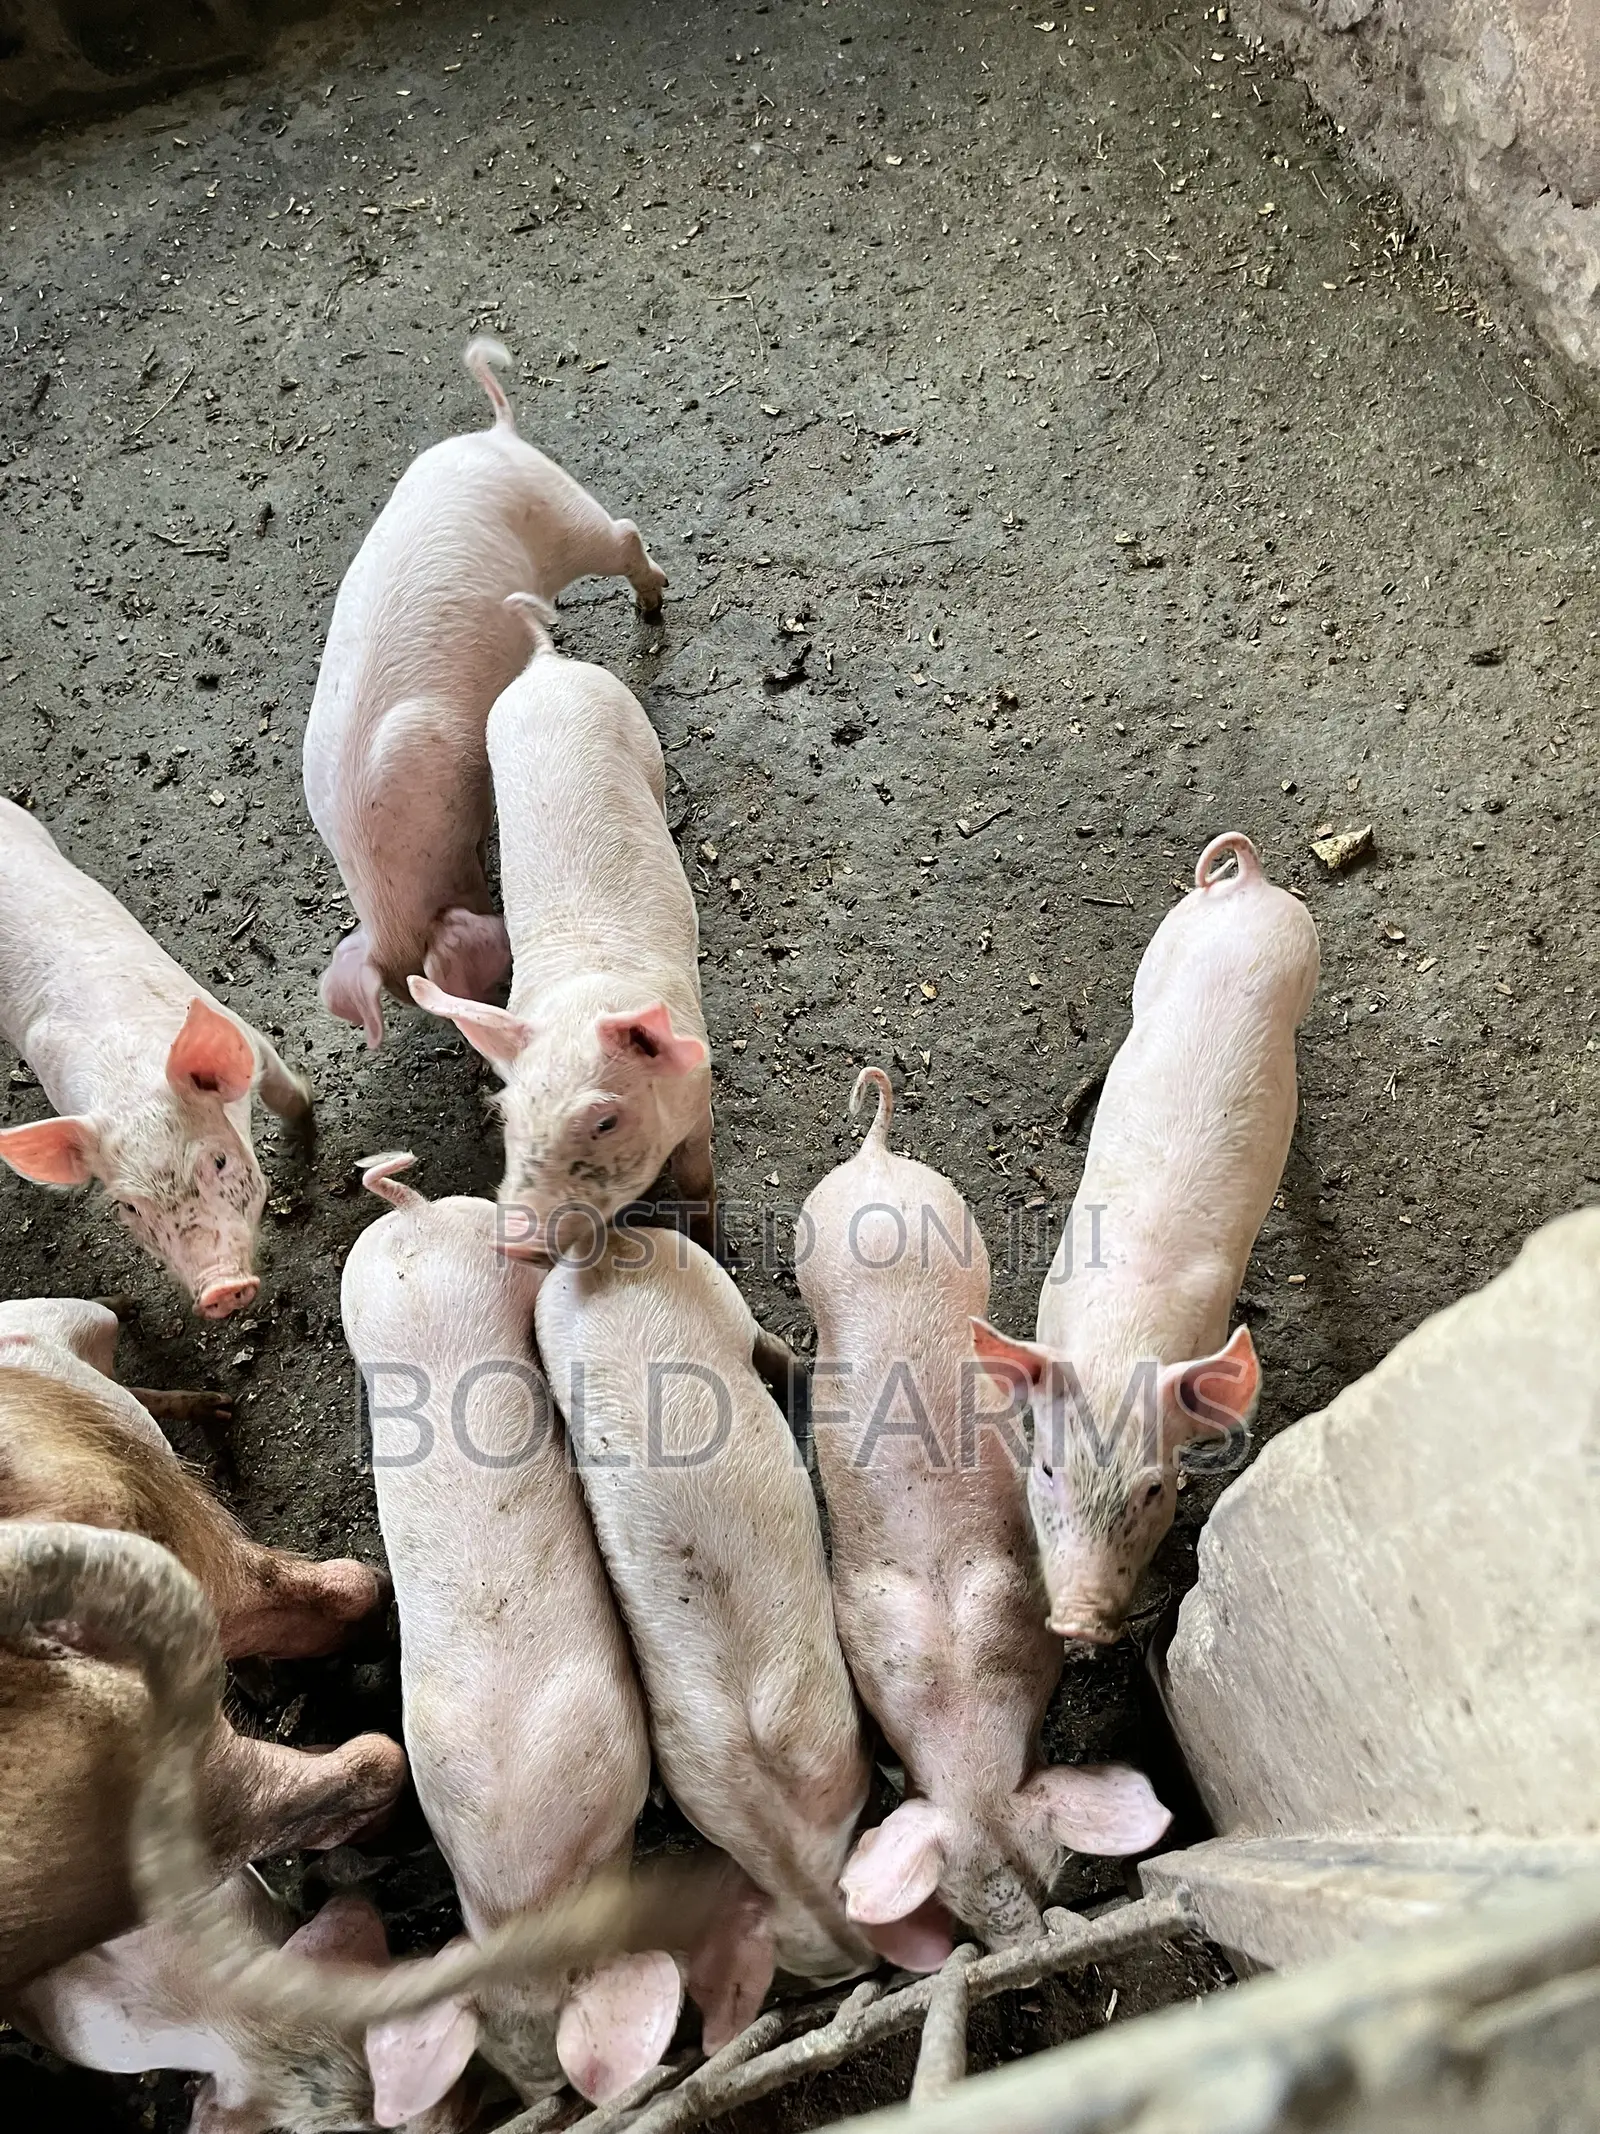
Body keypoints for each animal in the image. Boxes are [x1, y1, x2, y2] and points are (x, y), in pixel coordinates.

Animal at [0, 796, 311, 1318]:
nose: (220, 1289)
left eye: (219, 1162)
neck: (125, 1082)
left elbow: (280, 1087)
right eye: (129, 1207)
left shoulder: (242, 1031)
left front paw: (304, 1119)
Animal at [409, 599, 714, 1258]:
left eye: (604, 1120)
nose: (514, 1239)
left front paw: (709, 1241)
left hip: (639, 733)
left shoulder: (699, 1092)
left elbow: (699, 1180)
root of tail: (547, 665)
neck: (584, 996)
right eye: (506, 1114)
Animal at [798, 1071, 1172, 1956]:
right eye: (961, 1903)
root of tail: (876, 1159)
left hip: (957, 1230)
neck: (961, 1700)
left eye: (1049, 1871)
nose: (1024, 1949)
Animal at [972, 832, 1321, 1646]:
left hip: (1306, 956)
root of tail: (1247, 884)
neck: (1119, 1336)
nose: (1079, 1621)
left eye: (1154, 1489)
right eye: (1046, 1471)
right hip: (1163, 946)